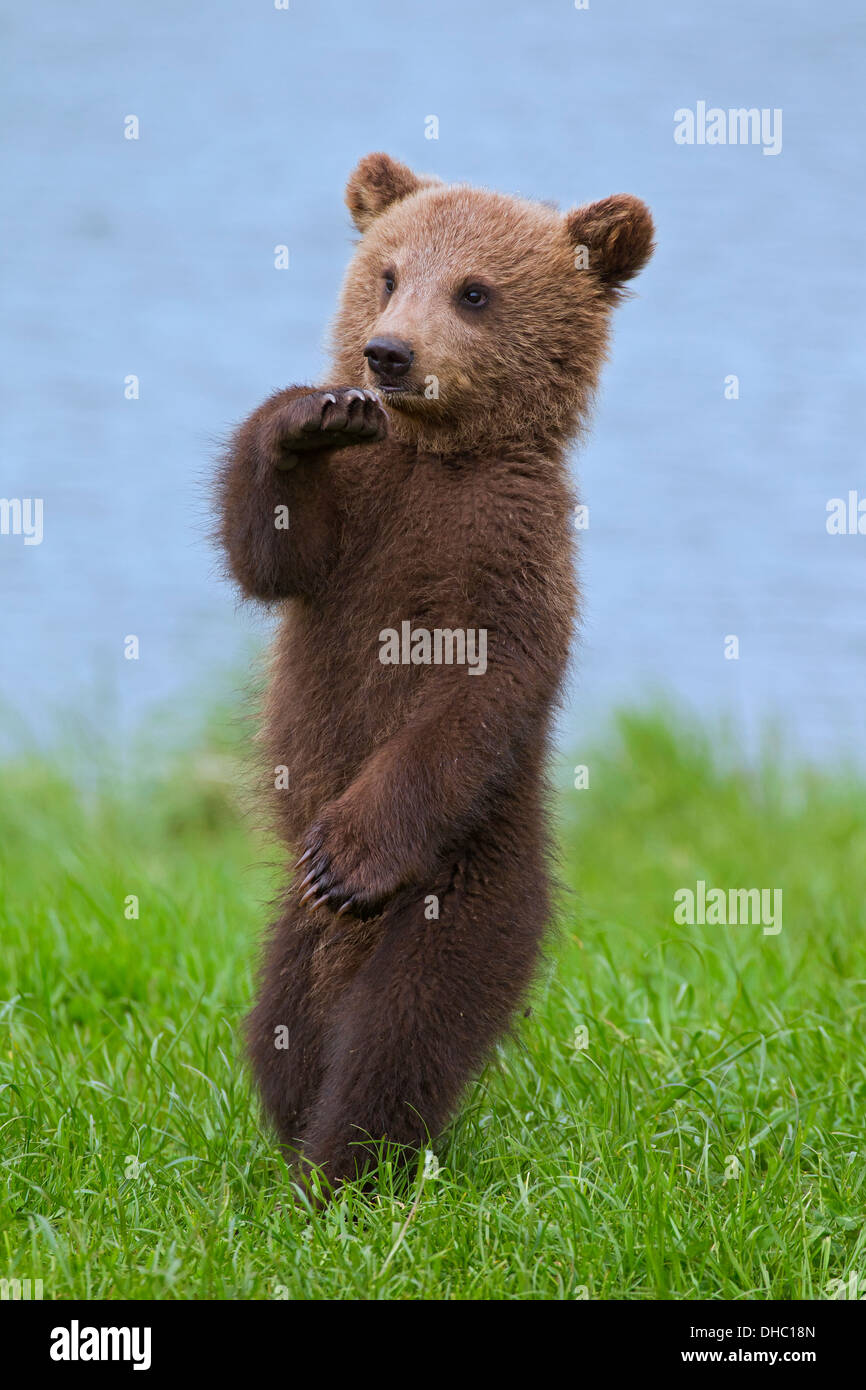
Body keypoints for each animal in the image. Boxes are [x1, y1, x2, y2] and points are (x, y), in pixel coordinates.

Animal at [217, 153, 653, 1195]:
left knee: (401, 1030)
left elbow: (469, 700)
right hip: (291, 938)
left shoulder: (508, 554)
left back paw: (347, 1168)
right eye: (387, 274)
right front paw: (308, 414)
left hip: (470, 886)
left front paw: (347, 857)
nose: (387, 355)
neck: (436, 453)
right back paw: (296, 1137)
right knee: (284, 1028)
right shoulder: (358, 525)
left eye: (475, 291)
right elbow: (272, 555)